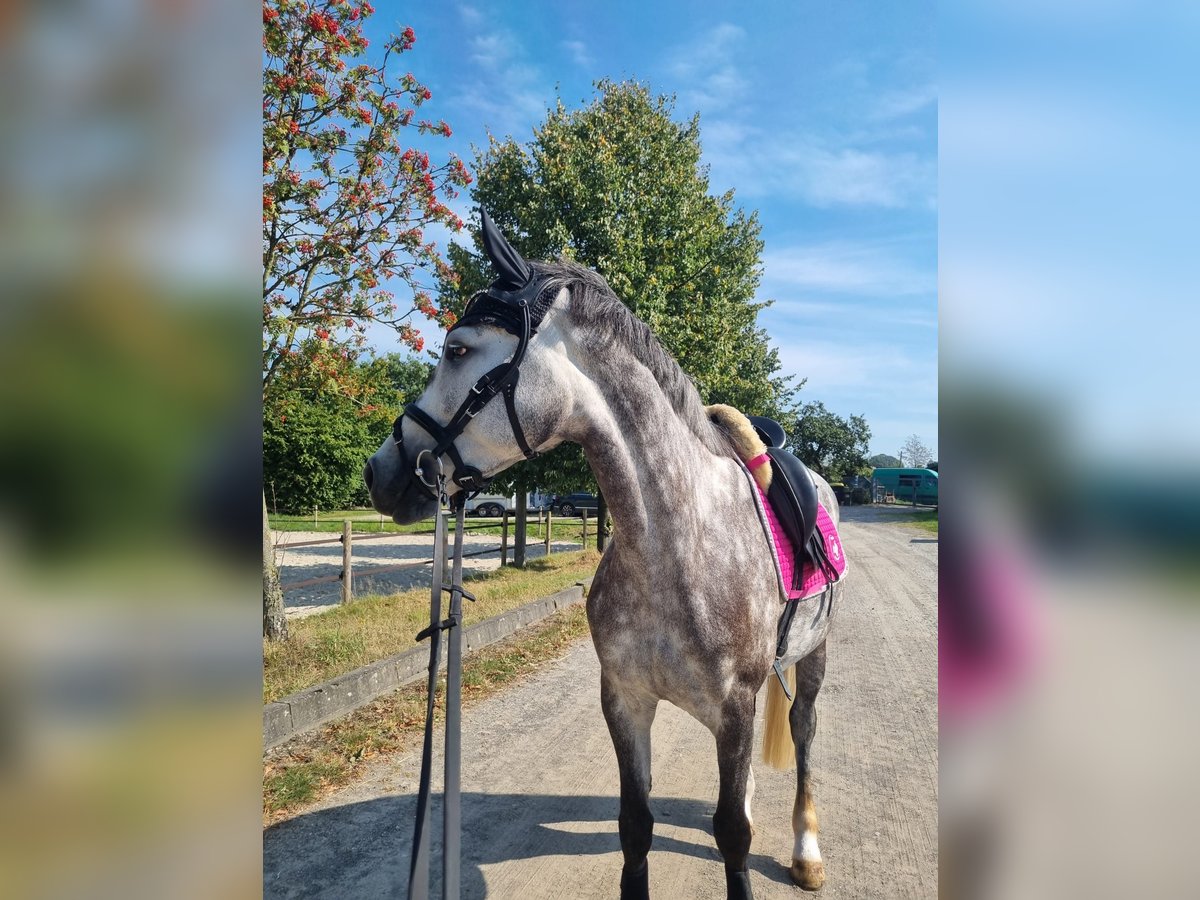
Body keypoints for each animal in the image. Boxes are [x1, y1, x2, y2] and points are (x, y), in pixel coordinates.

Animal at [364, 220, 844, 900]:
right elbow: (637, 827)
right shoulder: (624, 700)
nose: (380, 472)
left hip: (814, 657)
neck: (674, 547)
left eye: (457, 349)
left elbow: (733, 839)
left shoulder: (733, 708)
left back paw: (807, 850)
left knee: (803, 733)